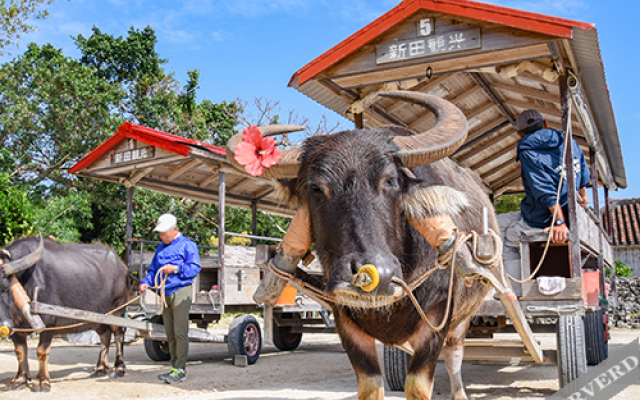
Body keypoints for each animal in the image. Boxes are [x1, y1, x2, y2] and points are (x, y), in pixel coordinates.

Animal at [0, 236, 130, 392]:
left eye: (5, 288)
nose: (3, 325)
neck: (26, 280)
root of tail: (121, 265)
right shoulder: (16, 327)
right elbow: (20, 352)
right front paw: (20, 380)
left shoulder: (48, 324)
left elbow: (42, 351)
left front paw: (42, 381)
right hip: (97, 316)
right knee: (105, 334)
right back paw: (100, 368)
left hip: (118, 309)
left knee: (119, 334)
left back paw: (118, 369)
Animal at [228, 92, 502, 398]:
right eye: (315, 188)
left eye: (391, 180)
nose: (376, 274)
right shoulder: (346, 322)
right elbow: (370, 386)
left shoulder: (437, 318)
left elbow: (417, 385)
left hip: (465, 316)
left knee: (455, 355)